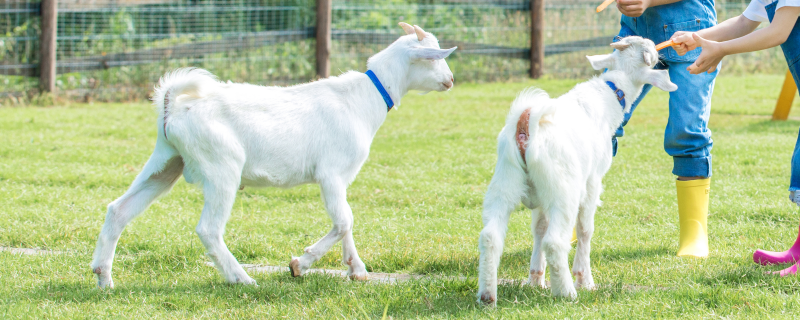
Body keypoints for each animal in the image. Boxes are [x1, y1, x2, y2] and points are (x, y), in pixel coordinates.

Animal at [89, 22, 456, 288]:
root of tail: (173, 105)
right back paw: (241, 278)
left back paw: (104, 278)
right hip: (221, 166)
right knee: (208, 229)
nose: (451, 80)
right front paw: (299, 265)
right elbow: (343, 221)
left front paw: (357, 270)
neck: (364, 98)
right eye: (434, 57)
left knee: (118, 209)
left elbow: (347, 221)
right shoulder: (330, 173)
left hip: (166, 161)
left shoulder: (340, 179)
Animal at [478, 37, 680, 302]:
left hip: (505, 180)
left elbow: (539, 228)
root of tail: (526, 128)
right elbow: (584, 229)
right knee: (554, 241)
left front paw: (536, 279)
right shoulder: (592, 180)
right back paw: (567, 292)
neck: (611, 93)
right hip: (563, 188)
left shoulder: (541, 194)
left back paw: (487, 295)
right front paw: (585, 280)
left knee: (490, 236)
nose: (656, 46)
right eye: (647, 52)